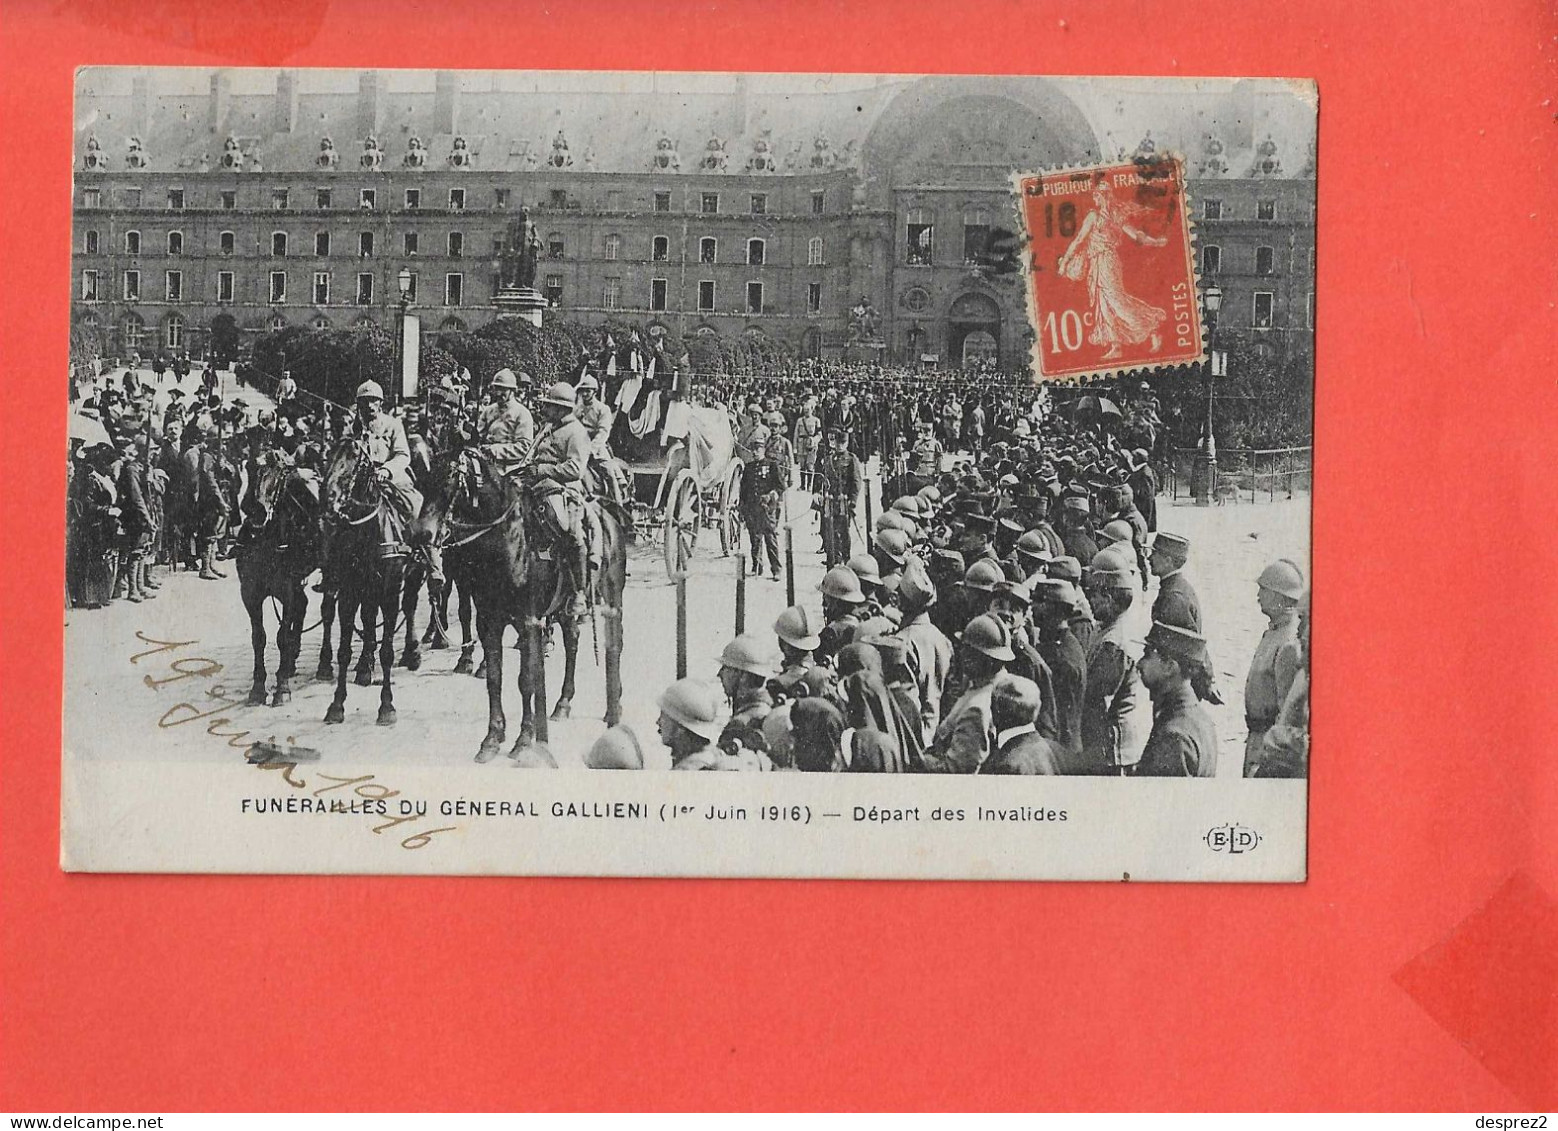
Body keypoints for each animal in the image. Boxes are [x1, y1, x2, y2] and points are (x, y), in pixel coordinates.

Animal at [233, 454, 319, 704]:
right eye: (250, 466)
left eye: (280, 473)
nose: (257, 512)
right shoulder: (249, 594)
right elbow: (258, 637)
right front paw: (257, 688)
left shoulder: (286, 591)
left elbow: (282, 637)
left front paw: (282, 688)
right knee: (303, 604)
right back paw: (291, 661)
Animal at [317, 439, 408, 732]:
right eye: (329, 456)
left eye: (355, 459)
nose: (327, 500)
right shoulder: (349, 593)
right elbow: (344, 651)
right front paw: (336, 705)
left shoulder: (390, 594)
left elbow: (387, 652)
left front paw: (387, 707)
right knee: (367, 621)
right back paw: (365, 668)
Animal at [420, 445, 632, 763]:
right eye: (423, 480)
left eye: (449, 482)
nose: (421, 534)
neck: (508, 541)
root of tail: (609, 515)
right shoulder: (489, 621)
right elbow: (494, 678)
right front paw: (492, 738)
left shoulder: (527, 622)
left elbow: (526, 680)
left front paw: (523, 739)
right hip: (566, 608)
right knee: (572, 642)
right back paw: (563, 704)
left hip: (613, 599)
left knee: (614, 647)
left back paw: (613, 707)